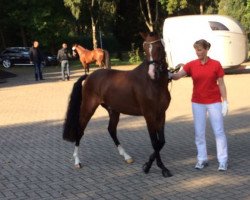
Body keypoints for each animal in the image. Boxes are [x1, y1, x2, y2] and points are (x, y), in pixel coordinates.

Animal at [63, 32, 173, 177]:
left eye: (159, 47)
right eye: (145, 48)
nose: (152, 72)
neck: (153, 83)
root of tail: (89, 76)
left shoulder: (161, 114)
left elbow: (162, 141)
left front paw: (155, 166)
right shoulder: (149, 115)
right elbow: (155, 142)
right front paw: (151, 167)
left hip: (113, 110)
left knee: (111, 130)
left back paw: (126, 156)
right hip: (88, 108)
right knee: (80, 130)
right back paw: (77, 161)